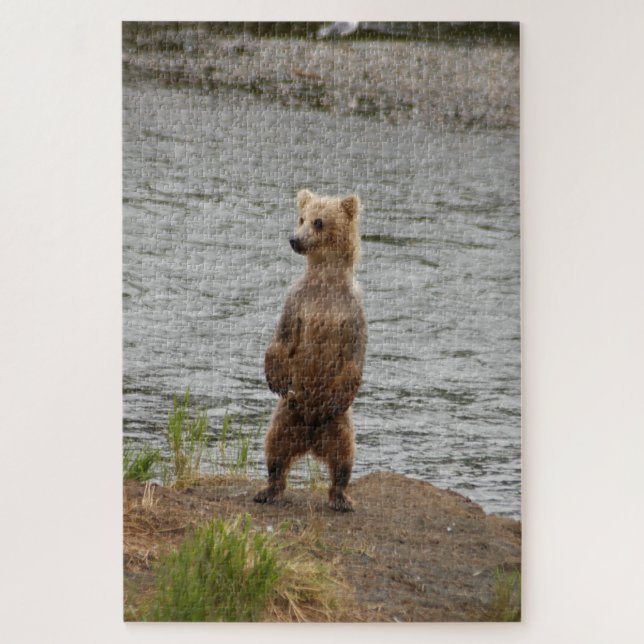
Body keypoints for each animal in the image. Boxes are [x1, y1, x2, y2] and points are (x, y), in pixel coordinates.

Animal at [254, 189, 367, 512]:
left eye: (318, 221)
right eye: (301, 218)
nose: (295, 239)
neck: (325, 282)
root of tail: (312, 439)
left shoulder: (351, 311)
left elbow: (354, 355)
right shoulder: (298, 300)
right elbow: (282, 337)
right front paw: (275, 377)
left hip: (339, 423)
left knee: (343, 458)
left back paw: (341, 498)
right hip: (287, 415)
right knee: (275, 449)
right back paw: (268, 490)